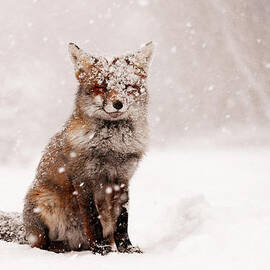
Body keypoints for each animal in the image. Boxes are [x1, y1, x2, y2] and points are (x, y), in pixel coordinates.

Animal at [0, 41, 153, 253]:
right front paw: (100, 249)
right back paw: (59, 248)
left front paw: (126, 249)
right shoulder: (84, 179)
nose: (118, 104)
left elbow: (122, 220)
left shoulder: (123, 179)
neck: (112, 147)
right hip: (44, 203)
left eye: (128, 86)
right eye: (101, 87)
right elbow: (92, 219)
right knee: (40, 244)